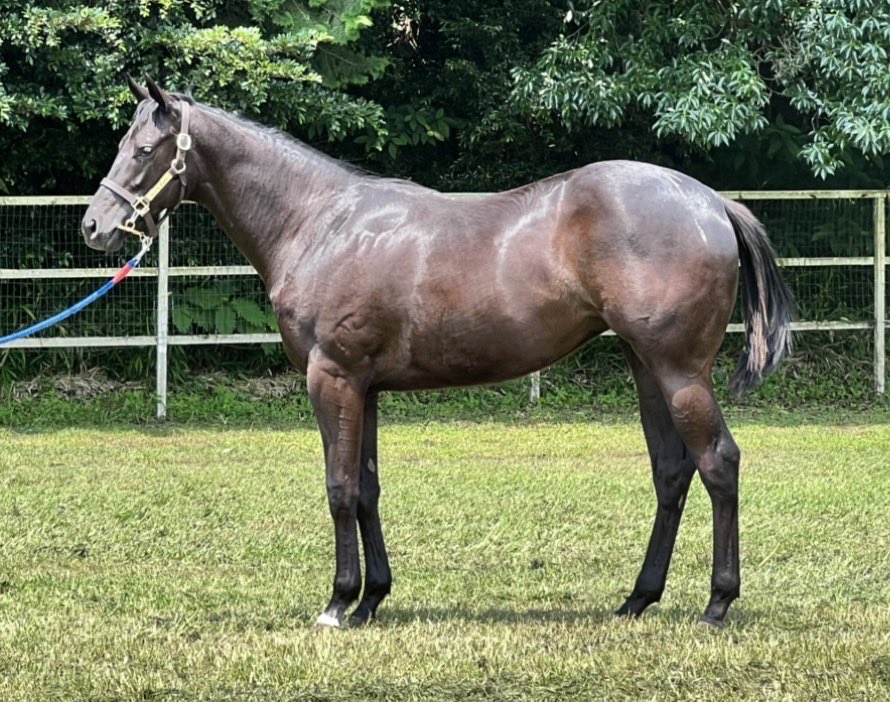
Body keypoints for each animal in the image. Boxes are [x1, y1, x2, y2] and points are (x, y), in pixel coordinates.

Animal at [82, 77, 794, 630]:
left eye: (143, 150)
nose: (94, 226)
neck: (321, 223)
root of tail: (710, 201)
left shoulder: (332, 378)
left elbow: (339, 487)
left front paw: (337, 605)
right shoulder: (363, 387)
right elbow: (367, 489)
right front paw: (372, 601)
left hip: (679, 372)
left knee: (719, 464)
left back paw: (717, 605)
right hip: (646, 368)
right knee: (672, 473)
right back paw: (637, 601)